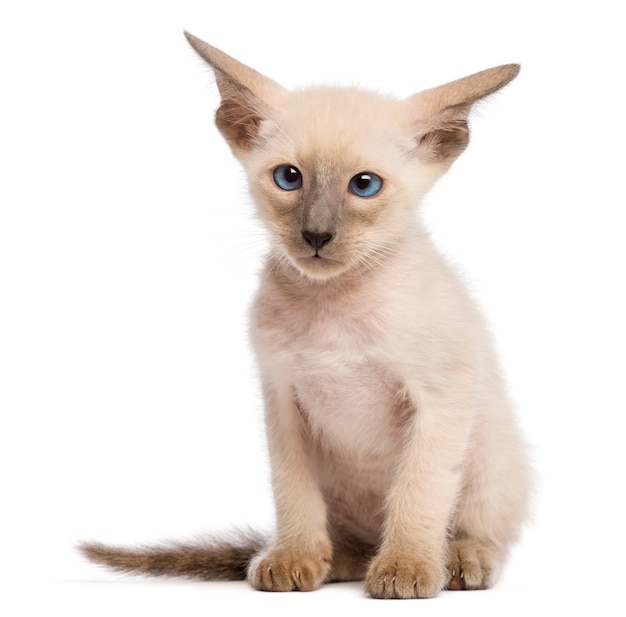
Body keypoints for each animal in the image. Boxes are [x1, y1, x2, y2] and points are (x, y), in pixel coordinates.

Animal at [77, 32, 528, 596]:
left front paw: (405, 568)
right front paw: (294, 557)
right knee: (352, 542)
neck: (331, 305)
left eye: (364, 185)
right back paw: (335, 559)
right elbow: (292, 490)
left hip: (490, 450)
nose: (316, 235)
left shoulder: (441, 397)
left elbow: (418, 490)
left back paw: (459, 559)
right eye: (289, 178)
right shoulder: (282, 396)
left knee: (481, 524)